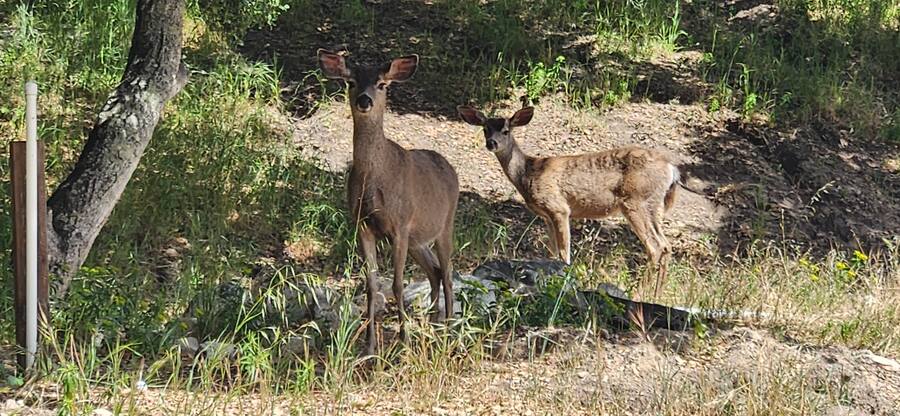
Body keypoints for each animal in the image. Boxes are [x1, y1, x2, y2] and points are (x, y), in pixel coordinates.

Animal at [318, 50, 460, 355]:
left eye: (382, 84)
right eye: (351, 82)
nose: (365, 100)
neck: (375, 180)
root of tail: (449, 167)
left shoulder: (400, 225)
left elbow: (397, 285)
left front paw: (403, 343)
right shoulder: (362, 225)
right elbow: (372, 286)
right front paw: (370, 346)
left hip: (445, 225)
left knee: (448, 273)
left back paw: (450, 330)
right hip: (418, 240)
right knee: (435, 272)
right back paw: (434, 324)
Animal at [458, 105, 679, 296]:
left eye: (505, 131)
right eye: (485, 129)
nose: (491, 143)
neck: (529, 172)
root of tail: (671, 169)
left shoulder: (559, 208)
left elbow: (564, 252)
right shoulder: (545, 216)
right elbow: (552, 252)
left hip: (635, 202)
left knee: (655, 247)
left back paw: (639, 292)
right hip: (654, 206)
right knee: (666, 246)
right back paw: (657, 294)